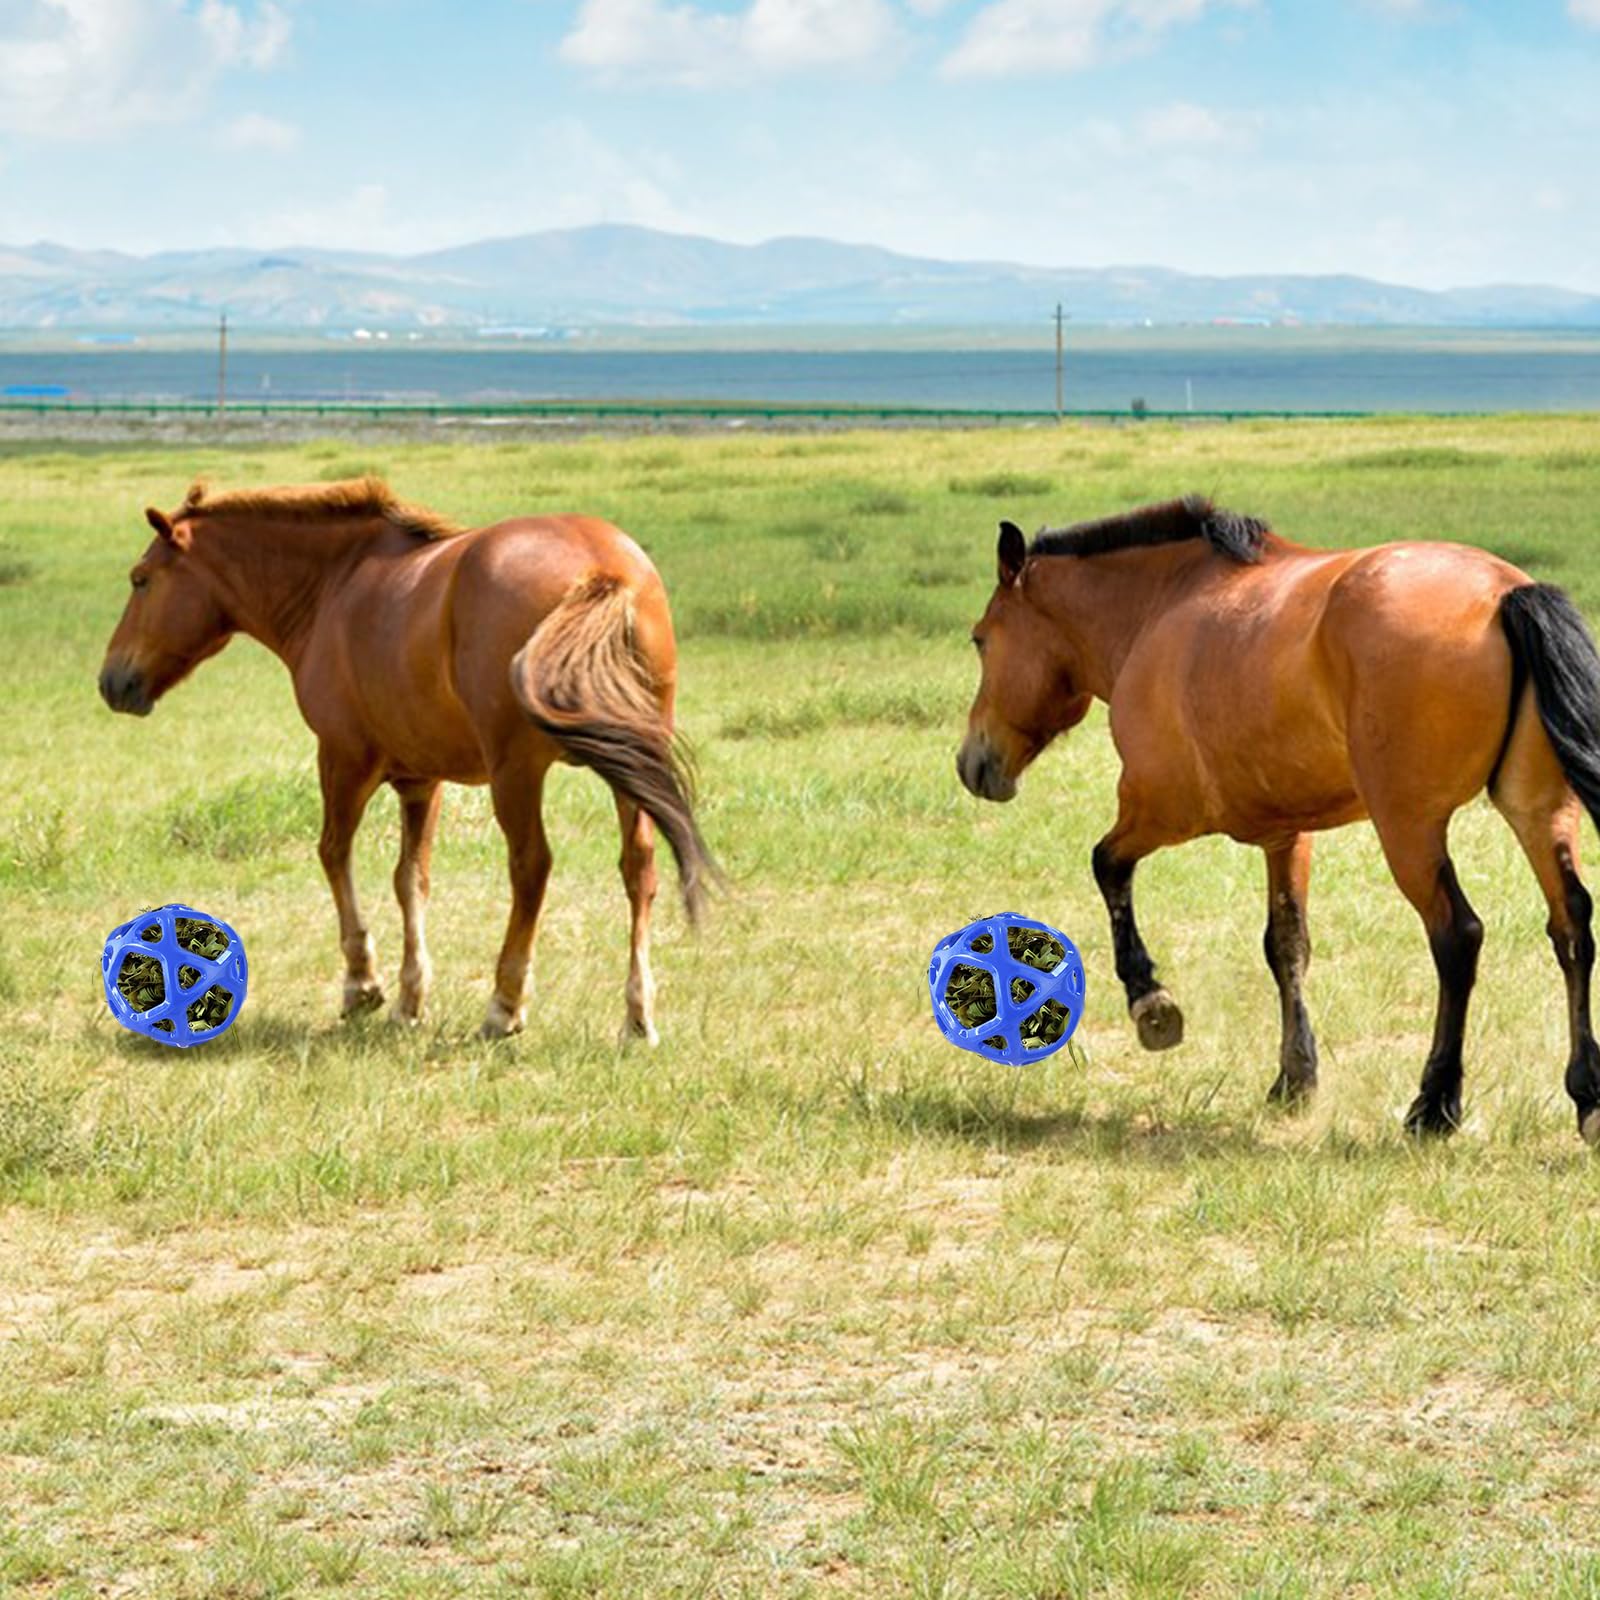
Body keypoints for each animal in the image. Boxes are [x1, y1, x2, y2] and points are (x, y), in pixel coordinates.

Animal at [99, 478, 714, 1043]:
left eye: (140, 579)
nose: (111, 682)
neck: (334, 586)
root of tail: (601, 570)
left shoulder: (342, 758)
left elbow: (334, 854)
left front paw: (363, 983)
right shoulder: (422, 780)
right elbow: (410, 879)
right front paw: (409, 998)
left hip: (517, 774)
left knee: (531, 868)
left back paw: (505, 1005)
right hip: (631, 764)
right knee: (639, 869)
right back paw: (638, 1016)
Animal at [957, 495, 1600, 1143]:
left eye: (981, 639)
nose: (972, 762)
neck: (1160, 607)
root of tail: (1504, 593)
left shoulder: (1160, 809)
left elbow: (1107, 866)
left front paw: (1151, 1003)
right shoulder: (1286, 835)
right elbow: (1286, 944)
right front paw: (1295, 1075)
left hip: (1409, 829)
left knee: (1458, 936)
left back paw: (1435, 1102)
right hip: (1536, 811)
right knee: (1571, 926)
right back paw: (1587, 1096)